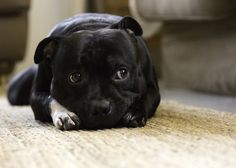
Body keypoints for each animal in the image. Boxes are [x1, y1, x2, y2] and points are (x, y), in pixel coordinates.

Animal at [6, 13, 160, 131]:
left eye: (122, 73)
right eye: (74, 77)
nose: (100, 107)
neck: (93, 25)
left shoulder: (153, 89)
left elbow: (147, 97)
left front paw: (135, 112)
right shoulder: (36, 95)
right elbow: (49, 99)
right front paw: (64, 114)